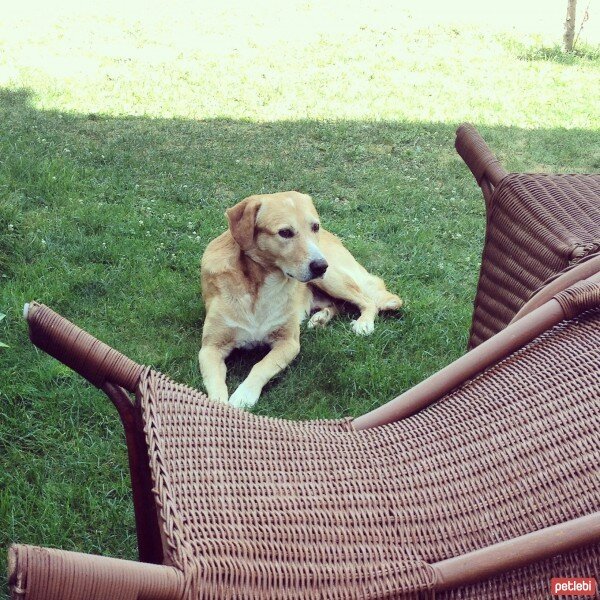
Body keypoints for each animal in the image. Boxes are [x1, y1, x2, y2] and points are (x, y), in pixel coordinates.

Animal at [198, 191, 404, 408]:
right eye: (285, 232)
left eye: (315, 226)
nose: (321, 266)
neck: (260, 286)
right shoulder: (210, 348)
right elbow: (215, 384)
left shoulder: (289, 343)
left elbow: (261, 366)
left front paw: (244, 395)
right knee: (338, 305)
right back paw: (320, 318)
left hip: (333, 279)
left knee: (367, 300)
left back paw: (364, 323)